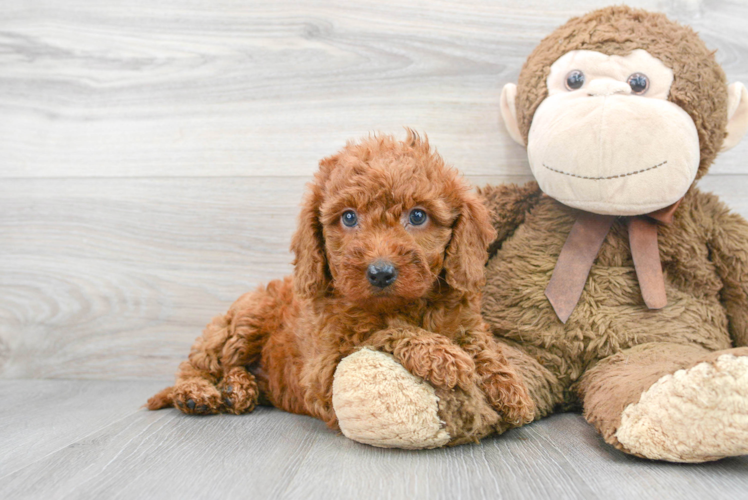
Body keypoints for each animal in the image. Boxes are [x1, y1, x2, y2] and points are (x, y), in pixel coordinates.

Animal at [148, 132, 532, 430]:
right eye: (348, 217)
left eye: (418, 216)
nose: (380, 272)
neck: (407, 306)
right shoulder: (326, 368)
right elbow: (383, 331)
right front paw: (440, 353)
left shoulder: (465, 319)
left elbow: (482, 344)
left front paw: (510, 387)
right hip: (243, 322)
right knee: (200, 363)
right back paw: (197, 393)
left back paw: (238, 389)